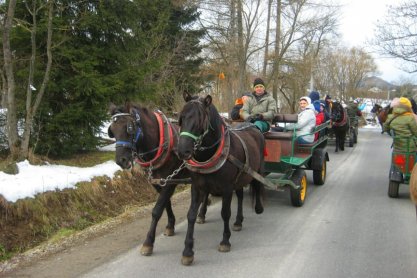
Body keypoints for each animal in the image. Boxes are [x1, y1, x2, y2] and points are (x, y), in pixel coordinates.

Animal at [176, 93, 264, 264]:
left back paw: (258, 207)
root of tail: (253, 127)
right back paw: (238, 221)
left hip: (257, 169)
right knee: (241, 196)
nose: (182, 151)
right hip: (241, 176)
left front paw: (225, 241)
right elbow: (191, 215)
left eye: (199, 120)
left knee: (257, 185)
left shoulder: (227, 188)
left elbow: (225, 213)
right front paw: (188, 251)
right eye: (181, 118)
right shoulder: (197, 187)